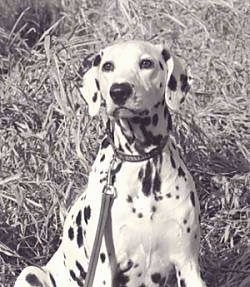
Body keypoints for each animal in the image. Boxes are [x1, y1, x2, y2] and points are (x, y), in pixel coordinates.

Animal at [14, 40, 205, 287]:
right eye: (107, 66)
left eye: (146, 63)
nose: (119, 91)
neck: (141, 161)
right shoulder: (104, 268)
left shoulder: (187, 264)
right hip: (31, 273)